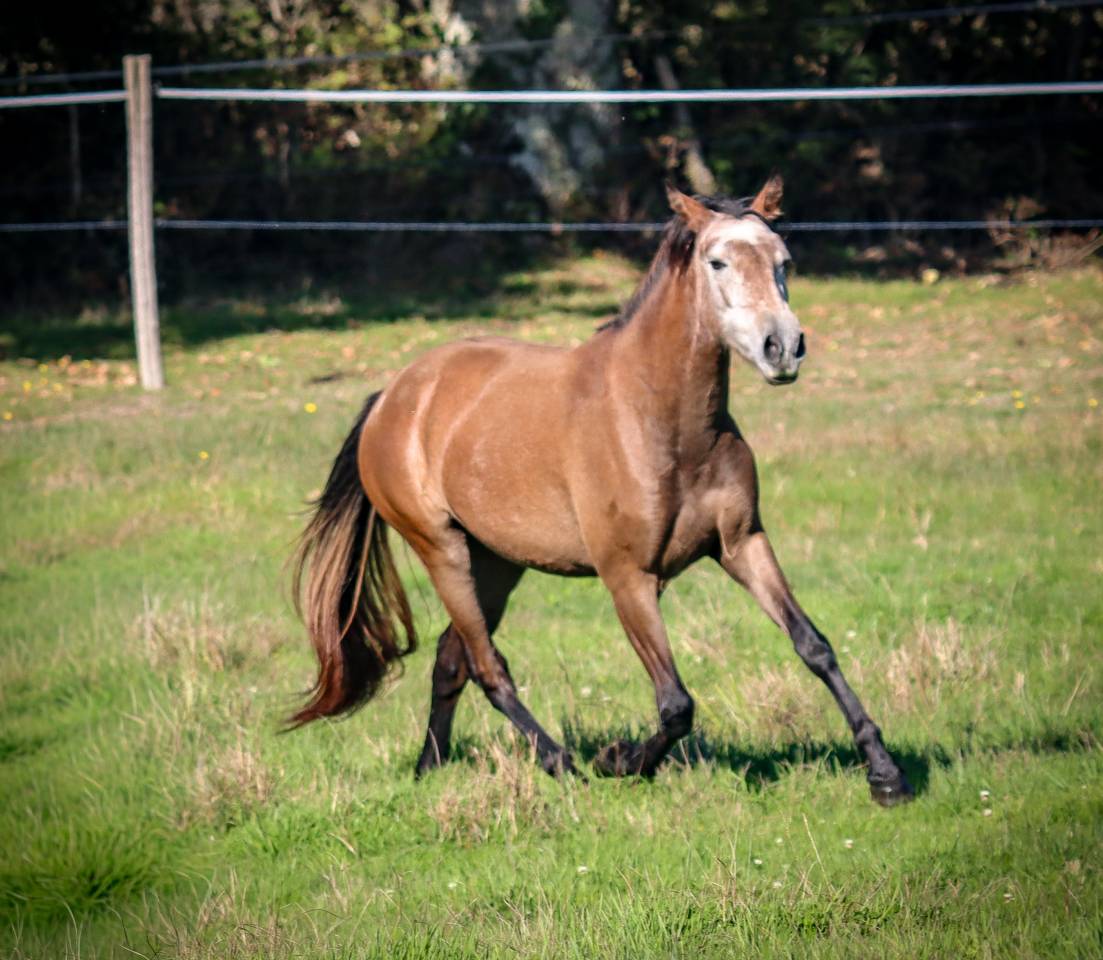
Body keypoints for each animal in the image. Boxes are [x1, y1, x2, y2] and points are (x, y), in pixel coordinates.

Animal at [290, 175, 914, 806]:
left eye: (784, 262)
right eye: (717, 261)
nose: (782, 347)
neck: (662, 421)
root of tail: (392, 397)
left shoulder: (742, 545)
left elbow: (814, 647)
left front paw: (885, 775)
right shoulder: (628, 578)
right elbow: (676, 704)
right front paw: (621, 761)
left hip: (496, 561)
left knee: (450, 659)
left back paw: (430, 768)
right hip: (442, 550)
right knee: (488, 667)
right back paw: (562, 765)